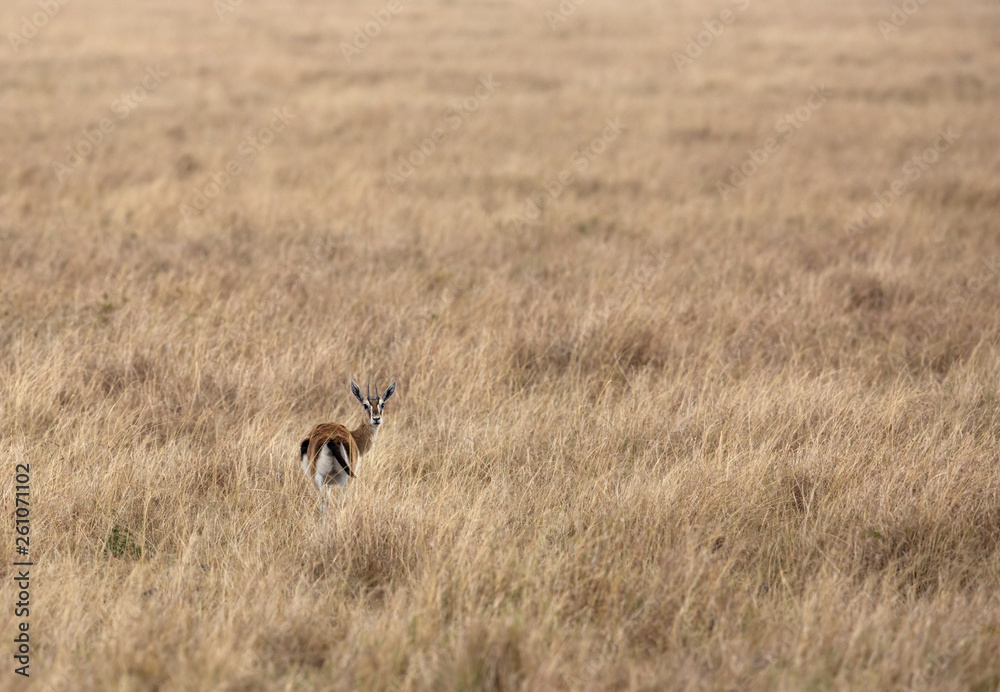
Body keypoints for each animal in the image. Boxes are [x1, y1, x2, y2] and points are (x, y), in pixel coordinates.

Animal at [300, 379, 397, 512]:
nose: (376, 419)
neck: (354, 436)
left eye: (382, 404)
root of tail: (332, 439)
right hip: (345, 479)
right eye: (365, 405)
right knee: (339, 502)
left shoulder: (328, 484)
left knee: (324, 504)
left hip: (319, 479)